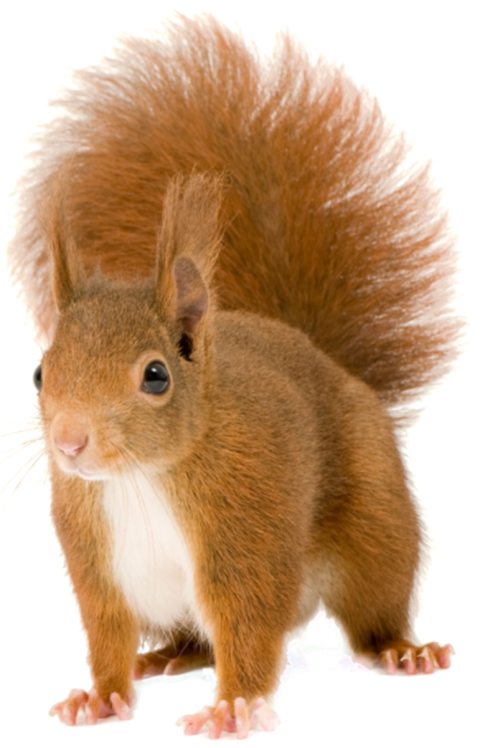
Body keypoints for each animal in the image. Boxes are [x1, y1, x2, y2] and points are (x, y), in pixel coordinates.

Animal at [8, 15, 457, 739]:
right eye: (39, 372)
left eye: (155, 376)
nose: (70, 444)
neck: (142, 479)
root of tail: (318, 354)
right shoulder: (94, 561)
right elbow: (105, 633)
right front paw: (98, 697)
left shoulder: (246, 528)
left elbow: (248, 625)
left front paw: (234, 707)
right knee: (192, 638)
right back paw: (166, 656)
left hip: (376, 527)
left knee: (371, 611)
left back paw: (402, 650)